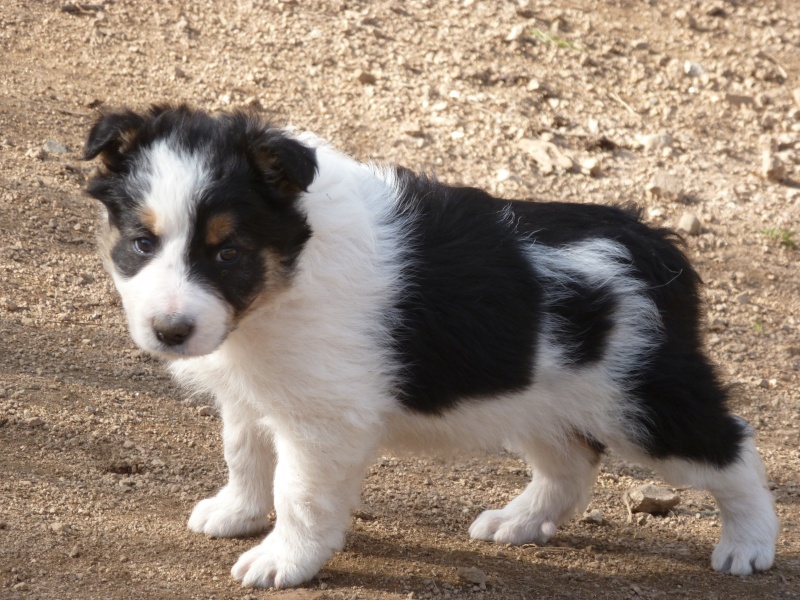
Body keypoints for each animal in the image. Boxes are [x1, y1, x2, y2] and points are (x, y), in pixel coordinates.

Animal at [84, 105, 780, 588]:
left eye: (227, 252)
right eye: (142, 243)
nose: (170, 332)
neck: (284, 277)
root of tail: (654, 244)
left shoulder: (323, 418)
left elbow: (298, 492)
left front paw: (282, 561)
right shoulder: (256, 389)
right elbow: (245, 453)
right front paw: (236, 513)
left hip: (644, 399)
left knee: (731, 449)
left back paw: (749, 545)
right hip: (538, 395)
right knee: (571, 463)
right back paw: (518, 521)